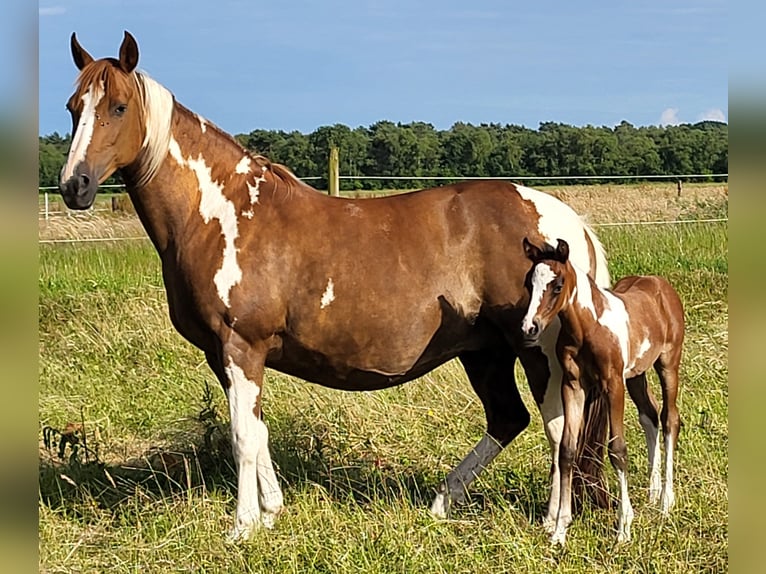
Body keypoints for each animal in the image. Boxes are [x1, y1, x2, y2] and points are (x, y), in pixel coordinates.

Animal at [57, 30, 616, 544]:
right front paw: (272, 511)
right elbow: (258, 429)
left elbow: (242, 436)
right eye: (73, 107)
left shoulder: (241, 345)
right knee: (508, 418)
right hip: (485, 351)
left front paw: (242, 527)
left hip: (535, 351)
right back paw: (443, 501)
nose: (74, 186)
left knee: (559, 427)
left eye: (119, 107)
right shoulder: (224, 355)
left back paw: (553, 522)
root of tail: (567, 224)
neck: (221, 215)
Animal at [520, 240, 684, 548]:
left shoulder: (612, 384)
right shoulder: (573, 385)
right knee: (650, 415)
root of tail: (661, 285)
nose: (529, 327)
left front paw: (623, 528)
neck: (588, 326)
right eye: (528, 283)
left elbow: (617, 450)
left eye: (557, 285)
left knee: (670, 418)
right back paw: (652, 493)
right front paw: (559, 530)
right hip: (636, 374)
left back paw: (666, 501)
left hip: (668, 363)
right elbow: (567, 450)